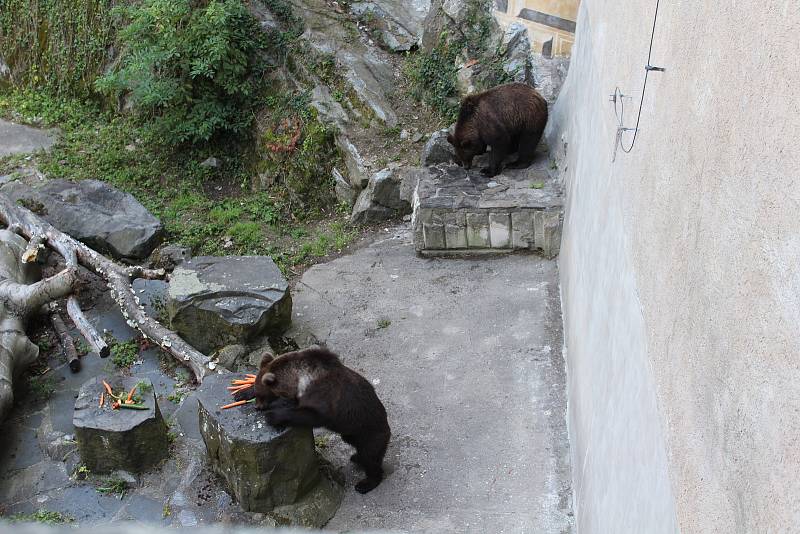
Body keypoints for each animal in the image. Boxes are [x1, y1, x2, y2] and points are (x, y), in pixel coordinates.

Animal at [234, 350, 390, 496]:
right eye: (257, 392)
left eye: (262, 395)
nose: (257, 406)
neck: (300, 379)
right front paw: (242, 393)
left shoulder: (323, 394)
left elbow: (313, 415)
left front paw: (273, 416)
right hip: (350, 433)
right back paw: (356, 457)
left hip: (369, 431)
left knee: (370, 457)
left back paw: (365, 483)